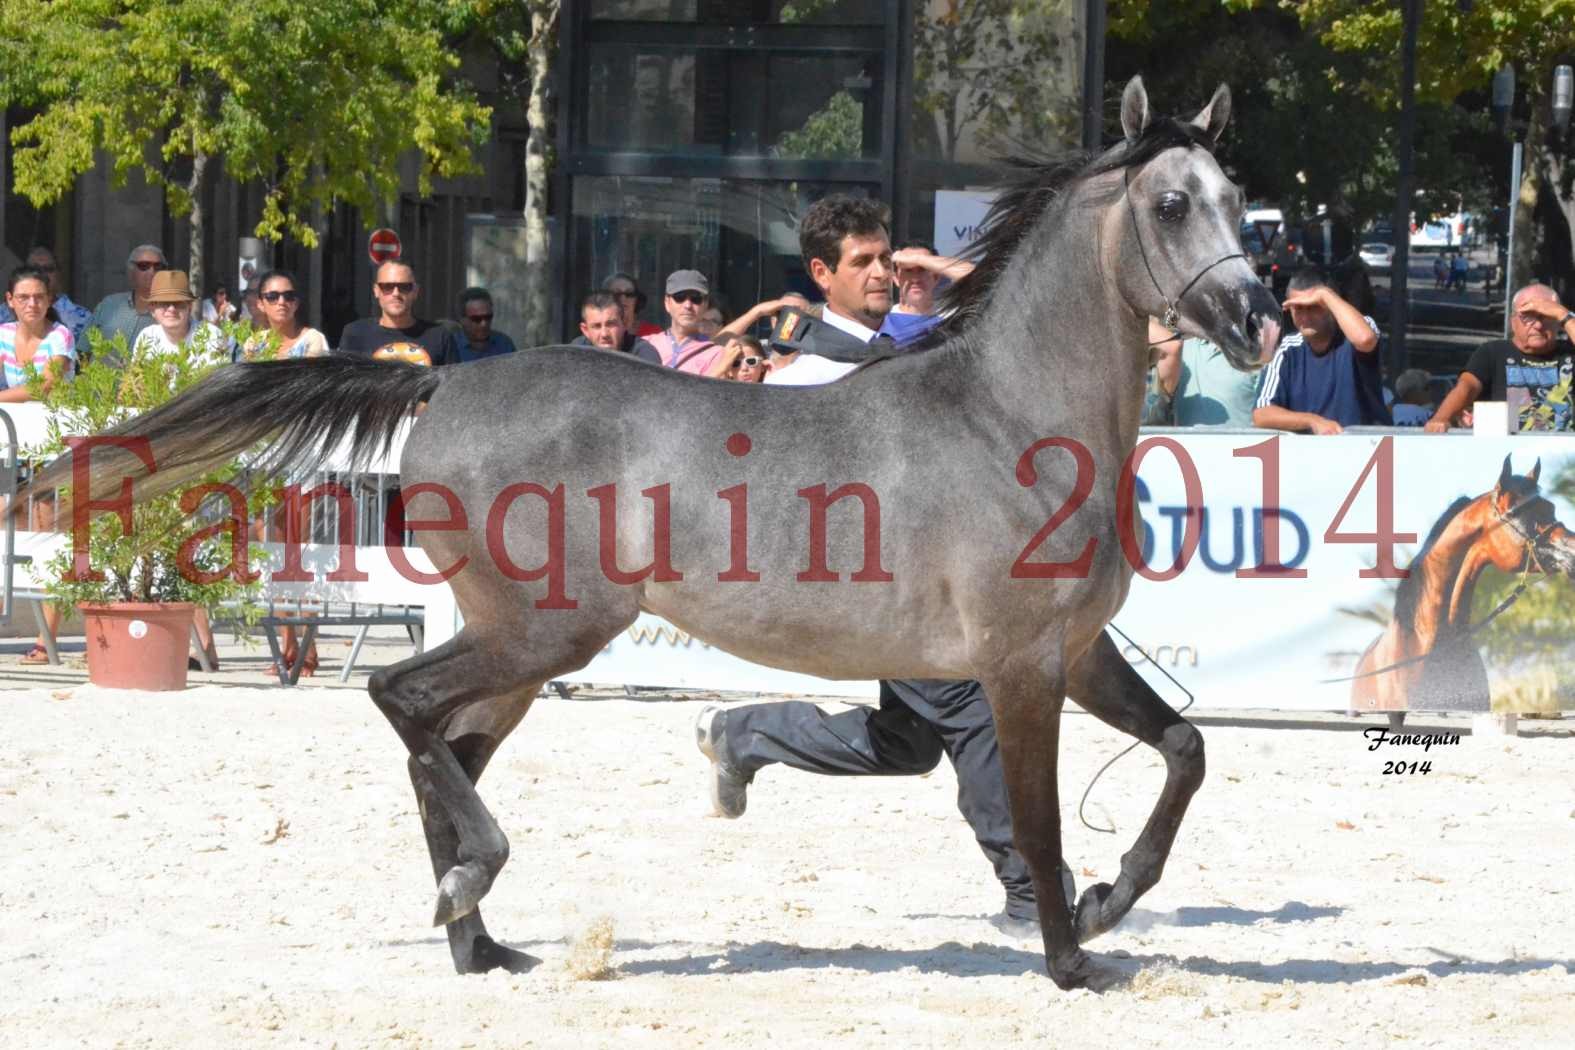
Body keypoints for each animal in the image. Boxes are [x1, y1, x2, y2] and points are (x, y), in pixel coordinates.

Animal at [33, 77, 1278, 988]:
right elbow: (1036, 815)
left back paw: (481, 943)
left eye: (1238, 198)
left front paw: (1113, 899)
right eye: (1173, 204)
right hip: (545, 631)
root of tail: (443, 382)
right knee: (400, 702)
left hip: (521, 648)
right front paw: (1074, 956)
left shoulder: (1077, 650)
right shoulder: (1018, 665)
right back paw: (471, 889)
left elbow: (1185, 748)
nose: (1260, 321)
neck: (1009, 415)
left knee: (443, 745)